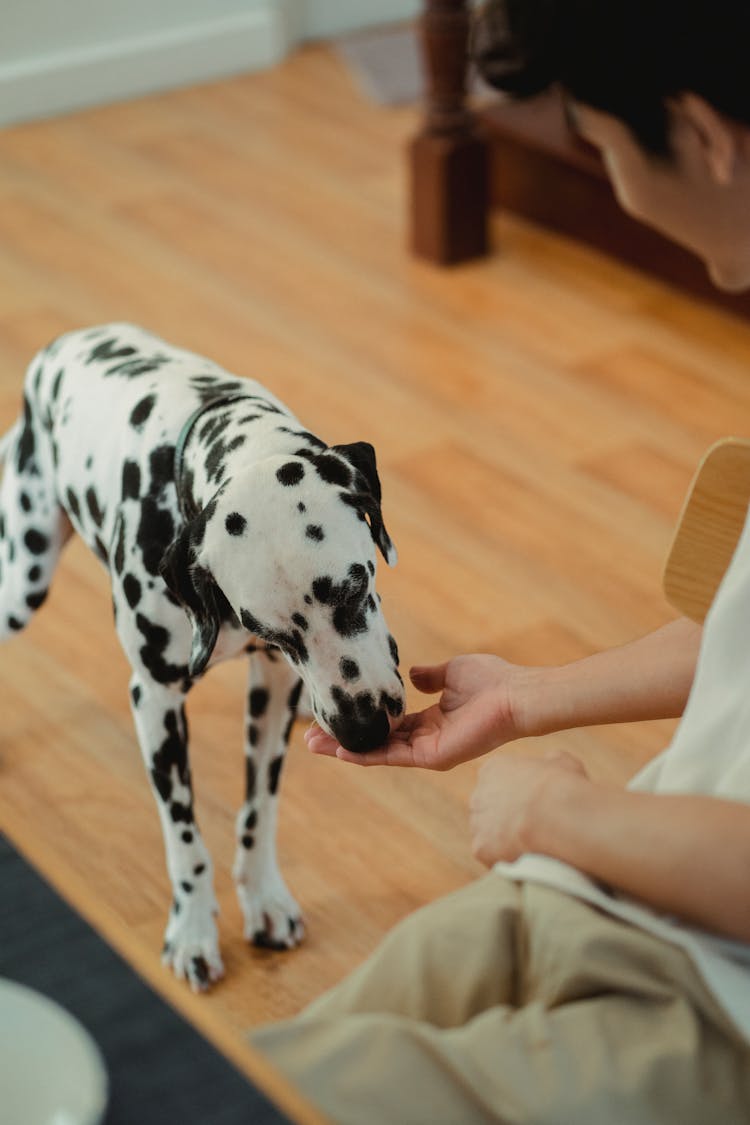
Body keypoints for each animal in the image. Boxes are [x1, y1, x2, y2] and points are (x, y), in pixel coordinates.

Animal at [0, 326, 404, 994]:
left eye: (354, 586)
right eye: (272, 628)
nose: (364, 732)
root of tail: (61, 348)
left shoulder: (273, 680)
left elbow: (259, 808)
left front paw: (263, 897)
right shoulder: (157, 699)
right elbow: (185, 839)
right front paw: (191, 932)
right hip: (21, 580)